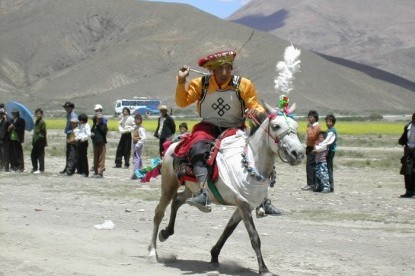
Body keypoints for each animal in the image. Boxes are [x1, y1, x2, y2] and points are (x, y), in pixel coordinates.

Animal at [150, 102, 306, 274]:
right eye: (276, 126)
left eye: (295, 126)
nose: (298, 153)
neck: (250, 162)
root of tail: (172, 145)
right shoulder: (243, 204)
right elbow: (254, 237)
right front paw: (263, 269)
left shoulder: (245, 205)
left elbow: (228, 230)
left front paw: (214, 255)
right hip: (169, 184)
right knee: (159, 213)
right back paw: (152, 251)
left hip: (191, 190)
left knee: (177, 201)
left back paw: (166, 232)